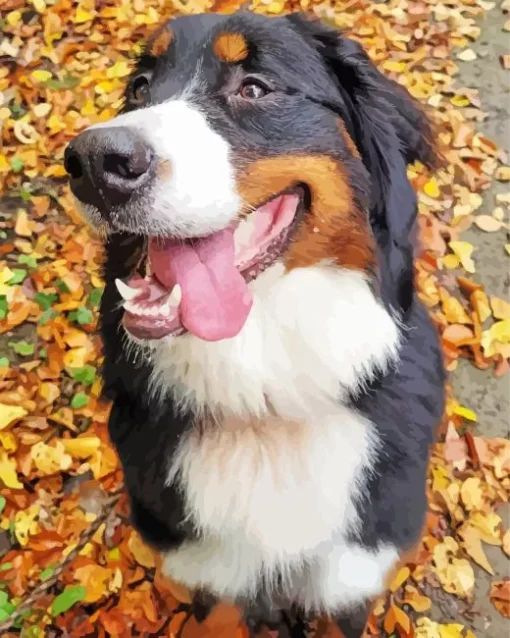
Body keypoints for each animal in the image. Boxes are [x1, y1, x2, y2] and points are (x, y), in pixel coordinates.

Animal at [64, 11, 446, 638]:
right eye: (140, 88)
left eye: (254, 88)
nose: (93, 163)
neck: (265, 408)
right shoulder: (210, 572)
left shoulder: (351, 572)